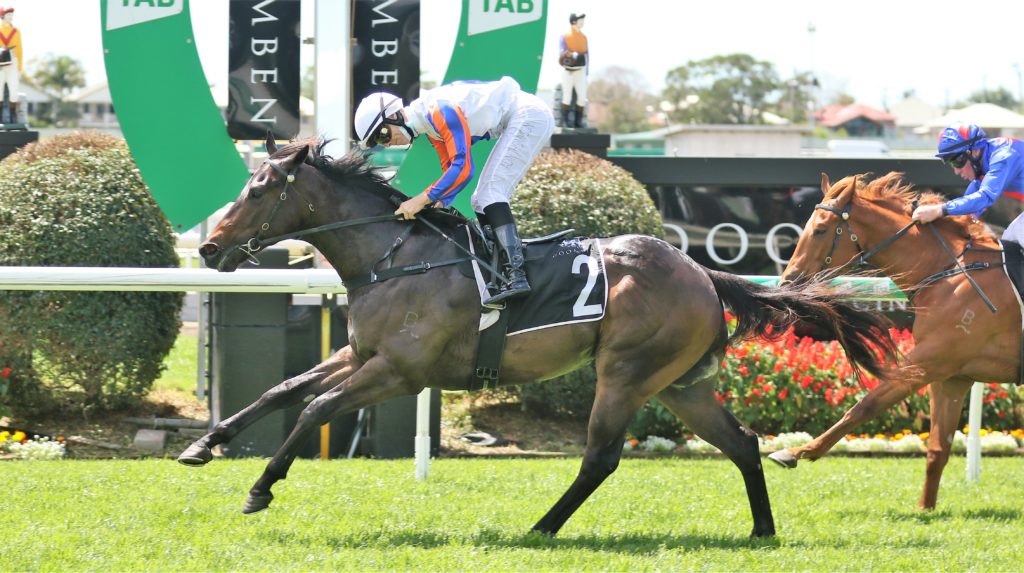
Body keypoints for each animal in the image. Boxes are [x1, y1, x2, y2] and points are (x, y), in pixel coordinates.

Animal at [178, 135, 899, 538]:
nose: (209, 247)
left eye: (259, 188)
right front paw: (205, 444)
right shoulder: (361, 352)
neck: (395, 254)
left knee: (601, 458)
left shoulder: (402, 370)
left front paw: (260, 487)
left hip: (626, 372)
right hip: (679, 386)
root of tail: (703, 271)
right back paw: (761, 529)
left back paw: (542, 526)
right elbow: (282, 389)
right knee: (742, 443)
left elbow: (318, 407)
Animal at [770, 171, 1021, 510]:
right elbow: (938, 448)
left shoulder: (929, 360)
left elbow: (865, 406)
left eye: (820, 229)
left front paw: (795, 451)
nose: (787, 282)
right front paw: (925, 508)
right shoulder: (952, 376)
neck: (949, 272)